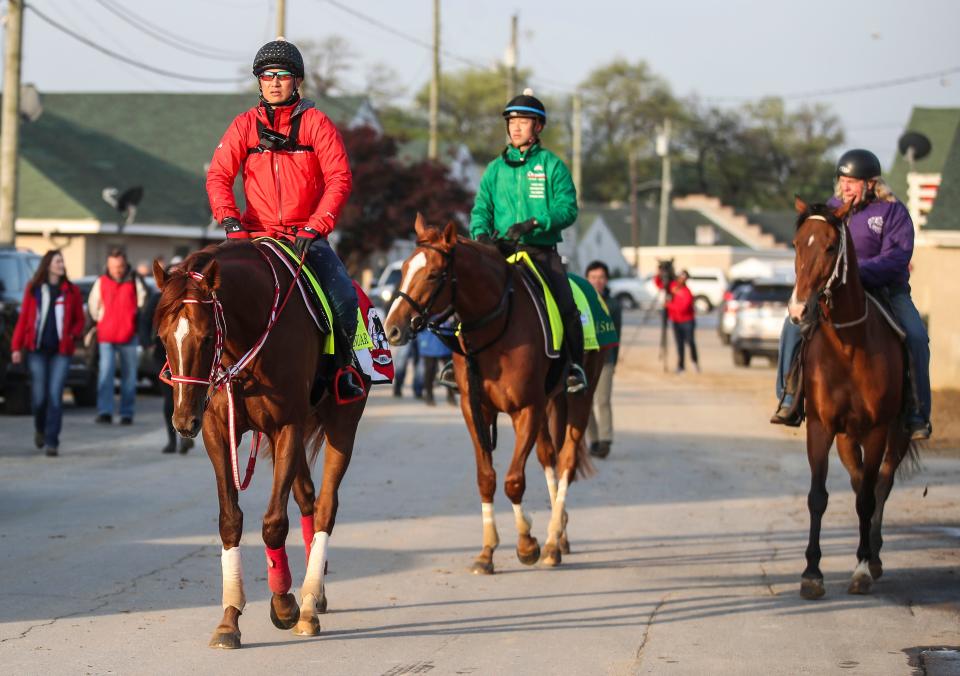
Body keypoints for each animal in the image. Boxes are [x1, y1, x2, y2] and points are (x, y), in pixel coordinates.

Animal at [154, 244, 368, 648]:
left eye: (206, 337)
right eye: (162, 337)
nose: (184, 420)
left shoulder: (287, 428)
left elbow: (273, 523)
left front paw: (284, 605)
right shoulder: (218, 432)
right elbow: (229, 520)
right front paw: (229, 618)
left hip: (341, 425)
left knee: (325, 508)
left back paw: (308, 605)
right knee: (307, 499)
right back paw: (315, 593)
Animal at [380, 218, 600, 576]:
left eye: (434, 274)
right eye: (404, 268)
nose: (393, 328)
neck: (496, 328)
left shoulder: (526, 409)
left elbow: (513, 480)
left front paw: (526, 544)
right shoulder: (476, 409)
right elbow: (487, 478)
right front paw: (487, 551)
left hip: (581, 396)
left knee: (566, 460)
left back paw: (553, 540)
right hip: (551, 402)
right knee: (549, 457)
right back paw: (559, 535)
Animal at [792, 198, 920, 600]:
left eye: (831, 246)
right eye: (797, 244)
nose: (798, 311)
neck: (848, 347)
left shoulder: (878, 430)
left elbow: (867, 498)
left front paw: (862, 568)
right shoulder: (821, 428)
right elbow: (818, 497)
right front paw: (811, 574)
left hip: (897, 435)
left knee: (879, 485)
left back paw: (874, 557)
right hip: (848, 438)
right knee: (858, 478)